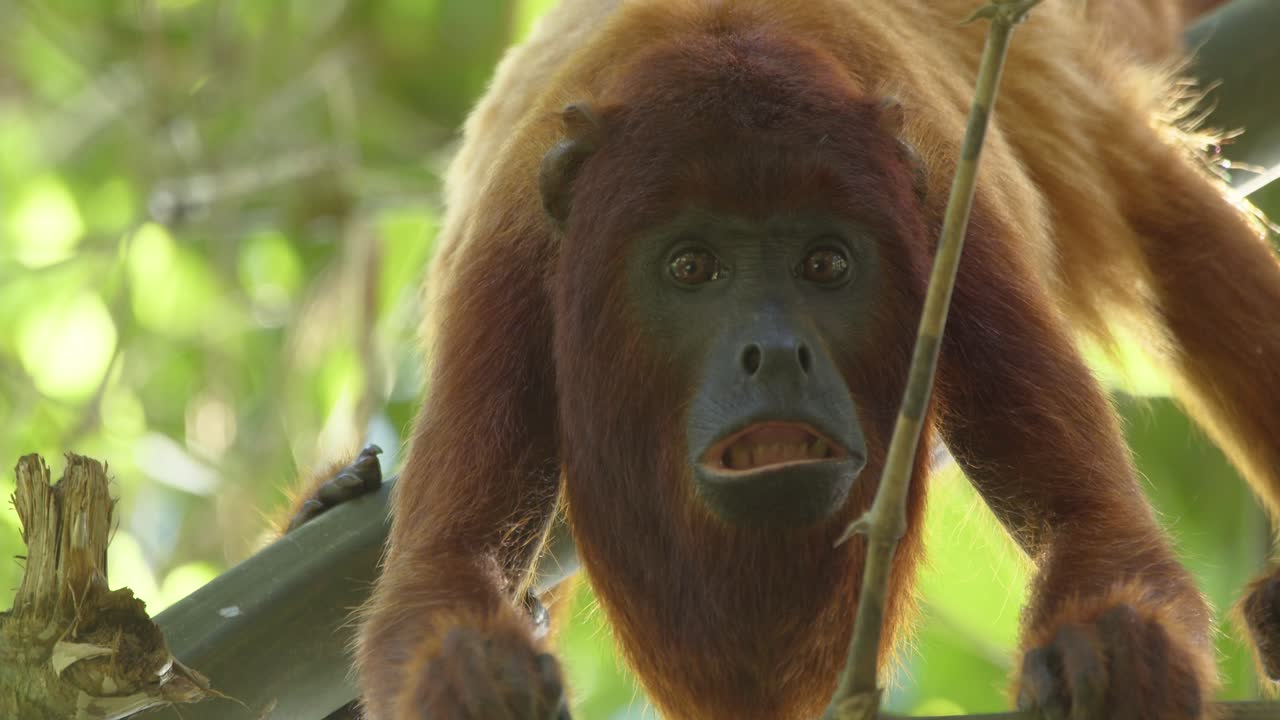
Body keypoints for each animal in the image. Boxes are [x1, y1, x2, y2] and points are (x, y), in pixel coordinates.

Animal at [295, 0, 1280, 718]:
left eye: (825, 264)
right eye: (692, 267)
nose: (774, 351)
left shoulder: (955, 241)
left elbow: (1094, 523)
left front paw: (1110, 654)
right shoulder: (507, 275)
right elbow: (440, 573)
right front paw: (471, 678)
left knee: (1176, 232)